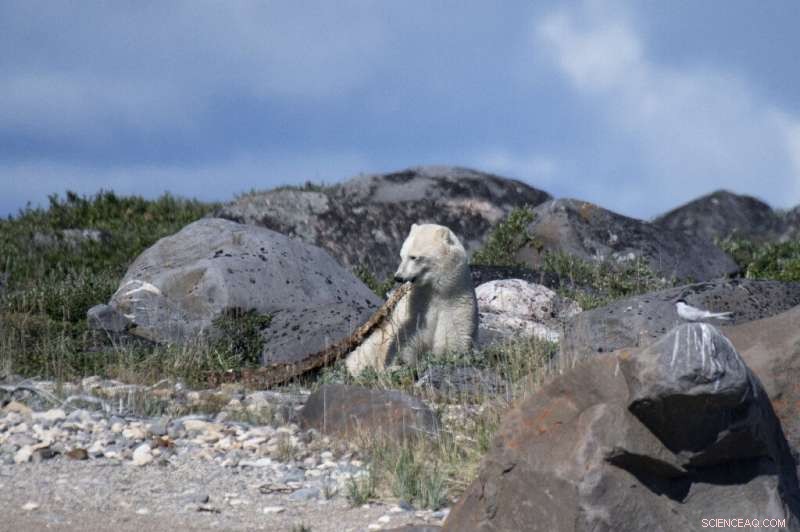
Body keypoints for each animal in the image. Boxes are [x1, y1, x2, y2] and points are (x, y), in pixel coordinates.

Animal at [345, 223, 478, 375]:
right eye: (402, 255)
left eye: (414, 257)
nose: (398, 277)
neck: (435, 291)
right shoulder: (415, 307)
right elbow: (407, 339)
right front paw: (399, 365)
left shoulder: (455, 300)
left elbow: (455, 335)